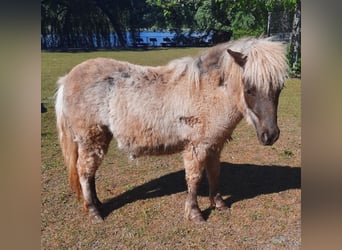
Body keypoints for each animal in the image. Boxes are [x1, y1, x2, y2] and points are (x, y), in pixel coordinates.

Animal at [55, 36, 288, 223]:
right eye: (249, 89)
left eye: (279, 88)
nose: (271, 135)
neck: (207, 92)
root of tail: (67, 79)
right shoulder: (196, 147)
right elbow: (194, 179)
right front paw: (195, 214)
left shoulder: (214, 145)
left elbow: (214, 173)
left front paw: (219, 203)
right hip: (91, 138)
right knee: (84, 171)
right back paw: (94, 211)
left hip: (97, 139)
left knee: (90, 172)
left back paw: (97, 203)